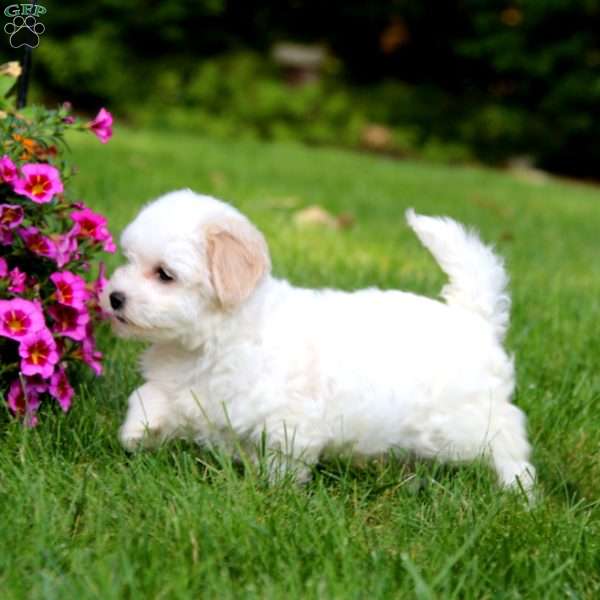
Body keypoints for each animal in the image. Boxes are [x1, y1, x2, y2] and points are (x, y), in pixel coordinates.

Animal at [102, 190, 536, 490]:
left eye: (165, 274)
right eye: (128, 260)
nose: (114, 297)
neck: (214, 338)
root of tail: (473, 317)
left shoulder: (291, 419)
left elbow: (284, 458)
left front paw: (273, 491)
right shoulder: (182, 389)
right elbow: (147, 398)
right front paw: (136, 434)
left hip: (461, 422)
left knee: (506, 435)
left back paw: (518, 489)